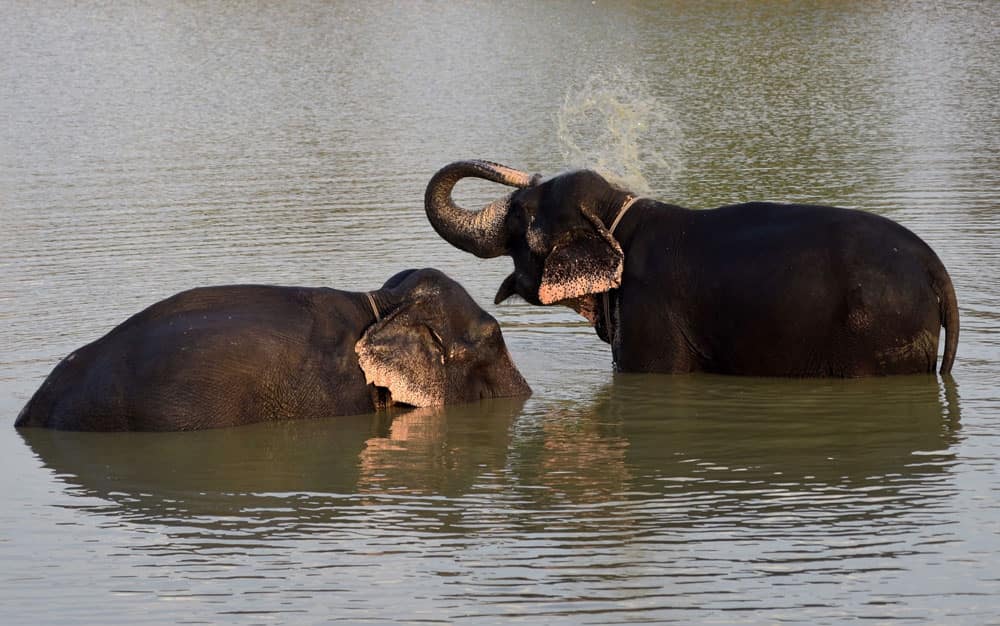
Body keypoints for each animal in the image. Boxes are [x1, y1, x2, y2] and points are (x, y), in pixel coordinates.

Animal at [424, 160, 960, 376]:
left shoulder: (649, 313)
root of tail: (934, 265)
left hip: (880, 332)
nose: (527, 176)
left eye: (520, 213)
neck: (619, 215)